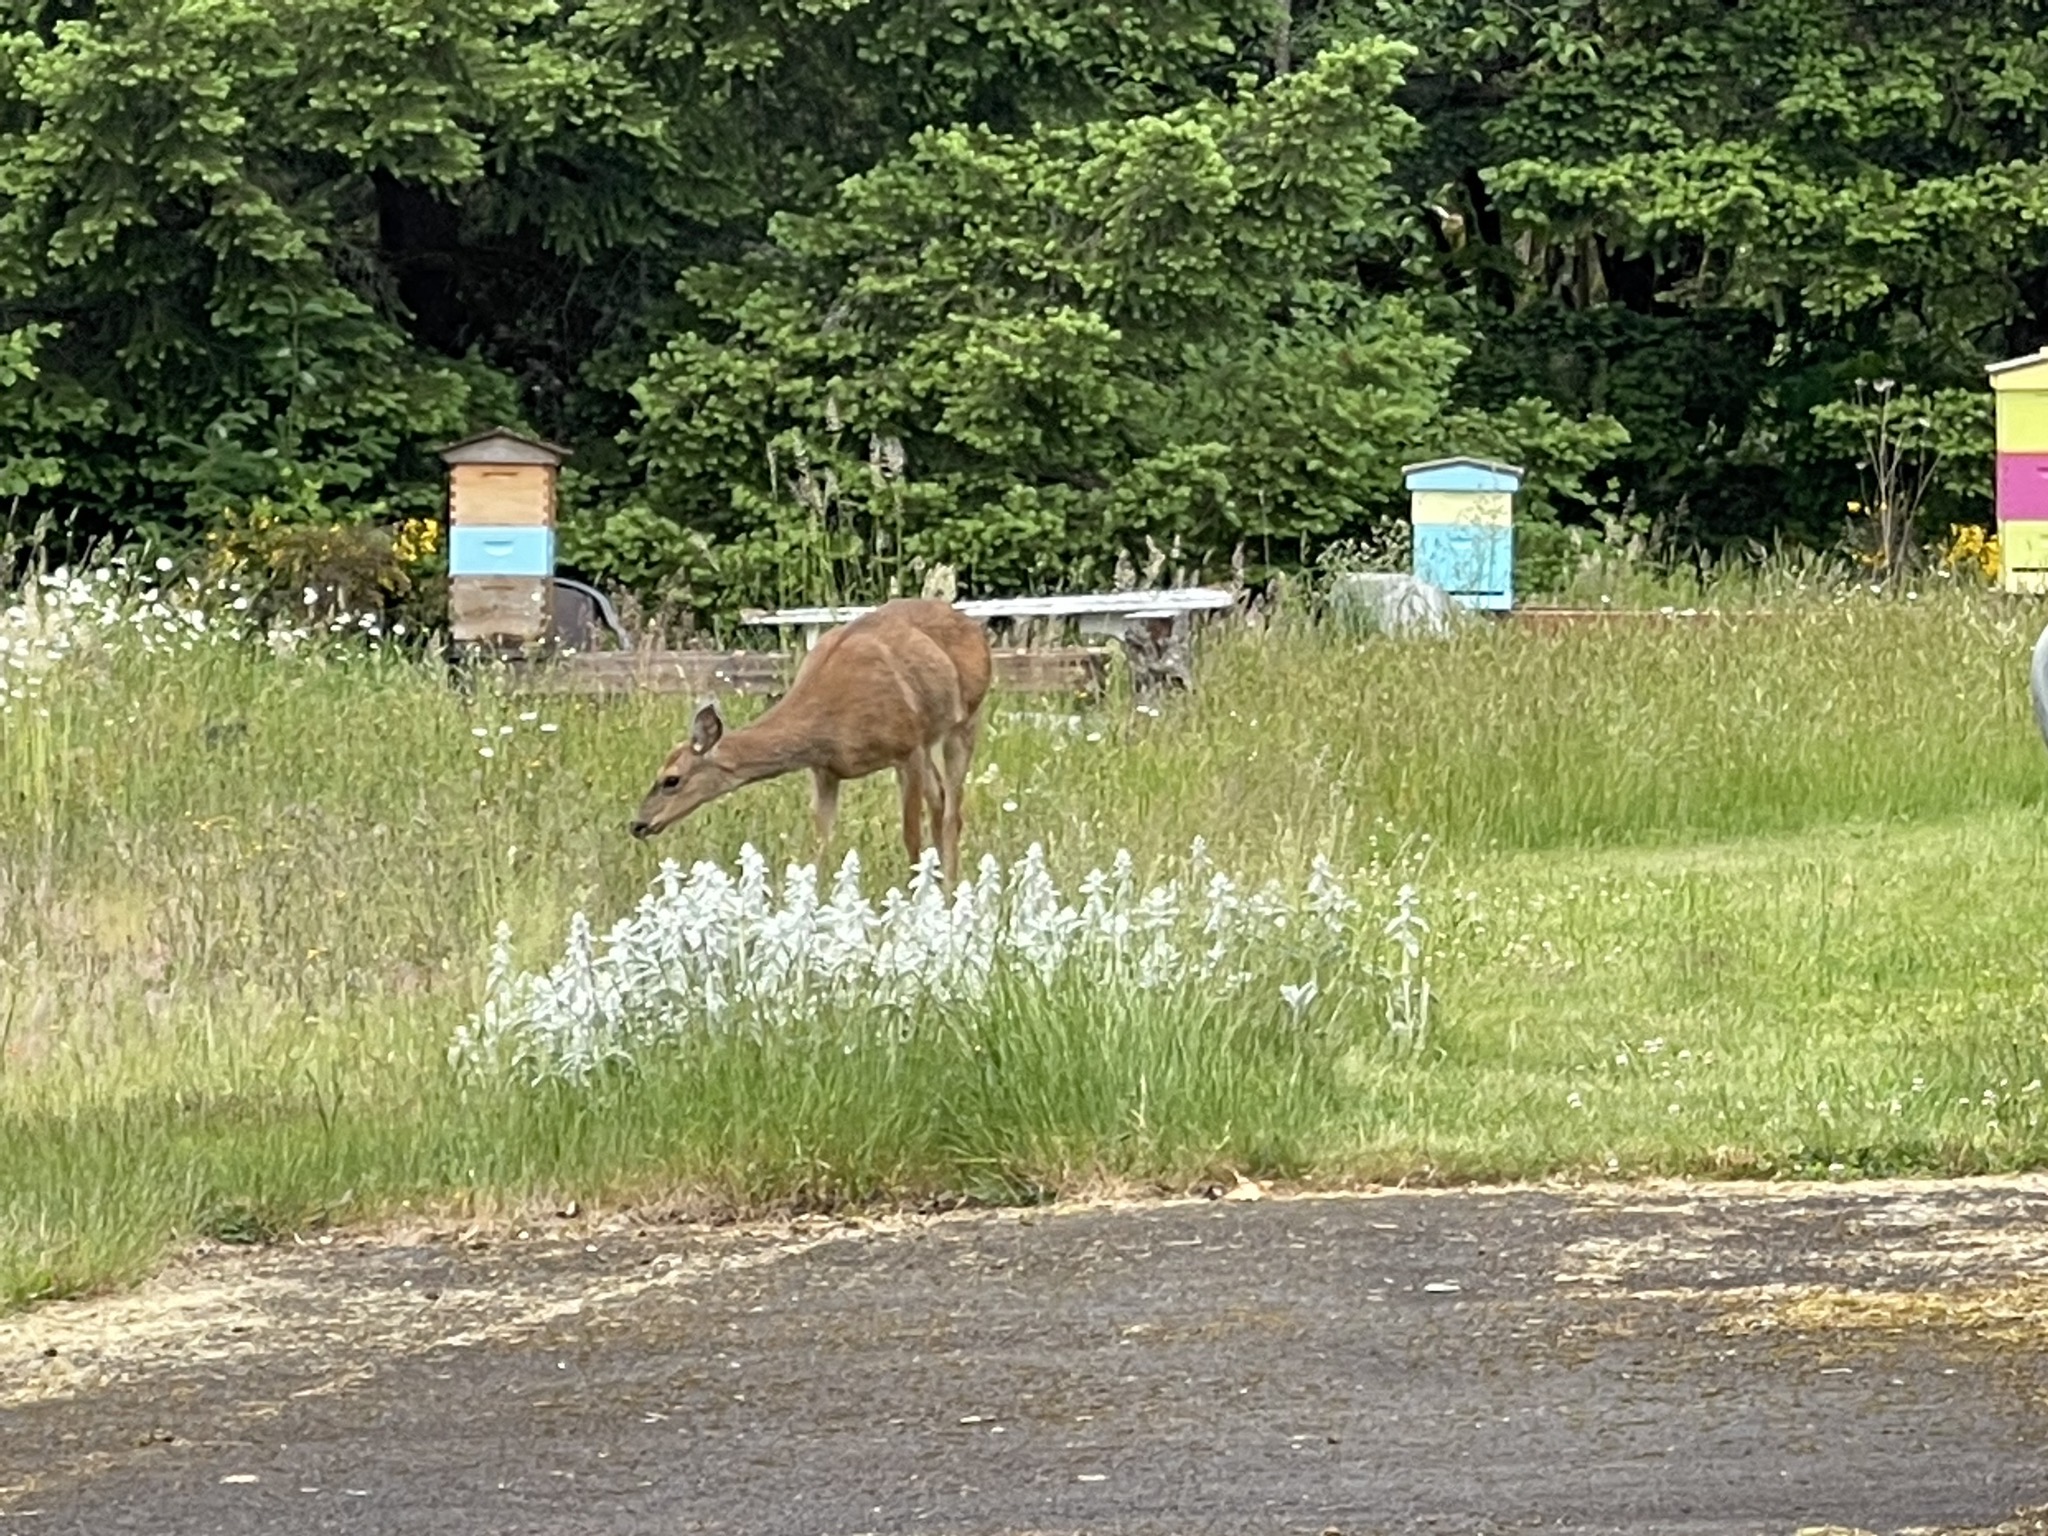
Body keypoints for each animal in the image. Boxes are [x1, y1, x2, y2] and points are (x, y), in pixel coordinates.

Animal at [629, 598, 994, 883]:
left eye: (671, 780)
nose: (638, 824)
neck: (829, 727)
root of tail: (973, 626)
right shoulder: (825, 771)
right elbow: (819, 846)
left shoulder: (907, 747)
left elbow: (911, 835)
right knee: (941, 799)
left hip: (964, 720)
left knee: (951, 814)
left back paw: (949, 890)